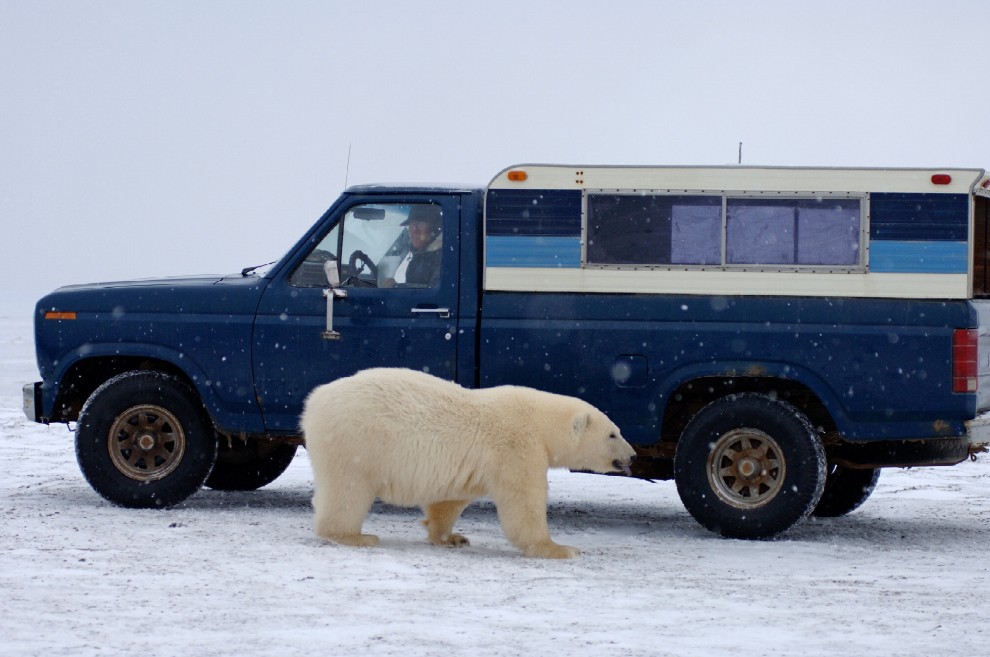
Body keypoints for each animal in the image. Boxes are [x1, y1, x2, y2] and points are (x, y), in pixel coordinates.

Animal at [300, 367, 636, 559]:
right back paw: (355, 535)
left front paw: (450, 536)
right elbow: (524, 503)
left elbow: (449, 500)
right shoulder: (517, 448)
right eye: (613, 433)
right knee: (348, 490)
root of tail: (313, 402)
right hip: (357, 441)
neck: (540, 422)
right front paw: (560, 548)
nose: (632, 455)